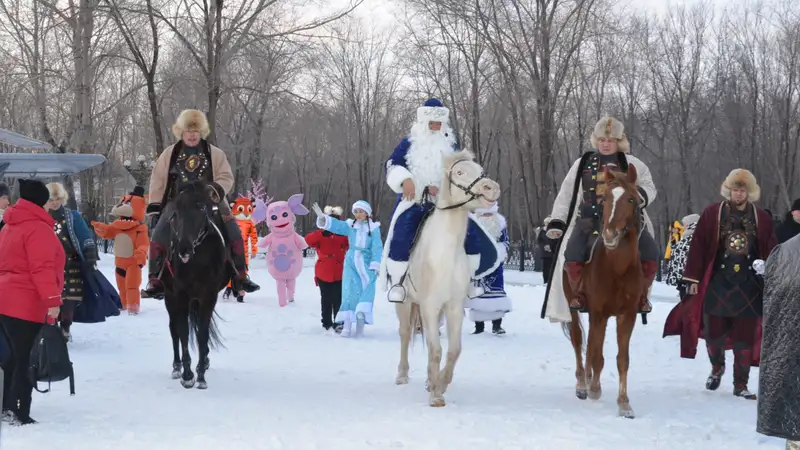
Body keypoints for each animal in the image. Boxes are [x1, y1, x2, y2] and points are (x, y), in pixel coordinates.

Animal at [161, 181, 231, 388]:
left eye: (201, 207)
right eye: (175, 210)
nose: (184, 248)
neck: (196, 261)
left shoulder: (208, 296)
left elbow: (202, 334)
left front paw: (200, 375)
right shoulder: (180, 296)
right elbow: (183, 332)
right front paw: (187, 375)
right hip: (169, 298)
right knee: (173, 329)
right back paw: (176, 367)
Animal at [394, 151, 500, 408]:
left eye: (479, 169)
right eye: (460, 172)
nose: (492, 188)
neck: (445, 252)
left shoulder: (453, 307)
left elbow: (454, 350)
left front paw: (439, 383)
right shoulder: (429, 307)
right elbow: (435, 350)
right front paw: (435, 395)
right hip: (405, 303)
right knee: (404, 334)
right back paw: (402, 374)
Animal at [560, 165, 648, 418]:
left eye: (631, 199)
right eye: (605, 199)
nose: (610, 234)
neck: (617, 268)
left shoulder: (626, 315)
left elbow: (622, 359)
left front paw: (624, 403)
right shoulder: (598, 312)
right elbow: (596, 354)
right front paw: (594, 389)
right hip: (574, 307)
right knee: (580, 341)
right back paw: (583, 383)